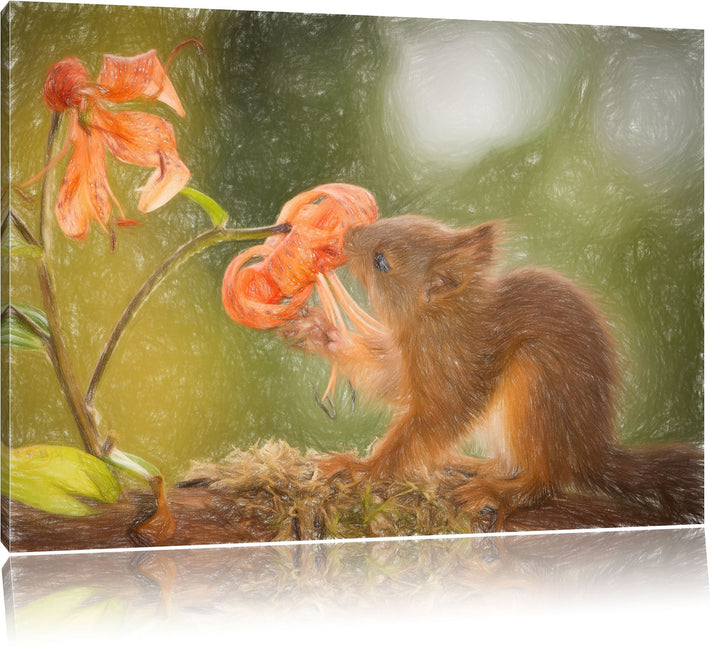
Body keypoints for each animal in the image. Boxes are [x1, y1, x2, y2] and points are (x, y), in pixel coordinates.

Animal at [281, 214, 704, 526]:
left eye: (381, 261)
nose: (347, 234)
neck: (440, 319)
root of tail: (588, 453)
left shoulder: (458, 366)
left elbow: (437, 417)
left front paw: (359, 468)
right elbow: (391, 382)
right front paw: (322, 333)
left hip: (537, 388)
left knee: (545, 482)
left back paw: (499, 493)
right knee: (510, 463)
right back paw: (468, 465)